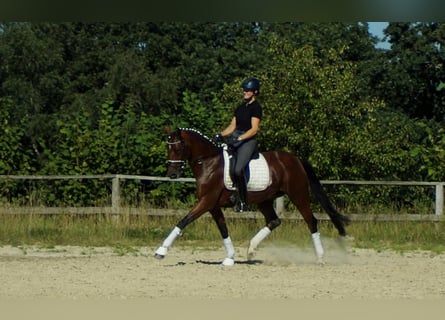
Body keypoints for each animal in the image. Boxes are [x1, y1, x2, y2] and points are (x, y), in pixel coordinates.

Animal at [154, 127, 348, 264]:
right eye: (168, 148)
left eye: (178, 148)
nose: (172, 174)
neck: (209, 162)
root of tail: (295, 159)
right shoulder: (213, 205)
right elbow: (223, 229)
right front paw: (230, 257)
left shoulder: (207, 201)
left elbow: (184, 221)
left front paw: (161, 251)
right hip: (264, 200)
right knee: (274, 221)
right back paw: (251, 250)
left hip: (298, 195)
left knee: (311, 221)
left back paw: (320, 258)